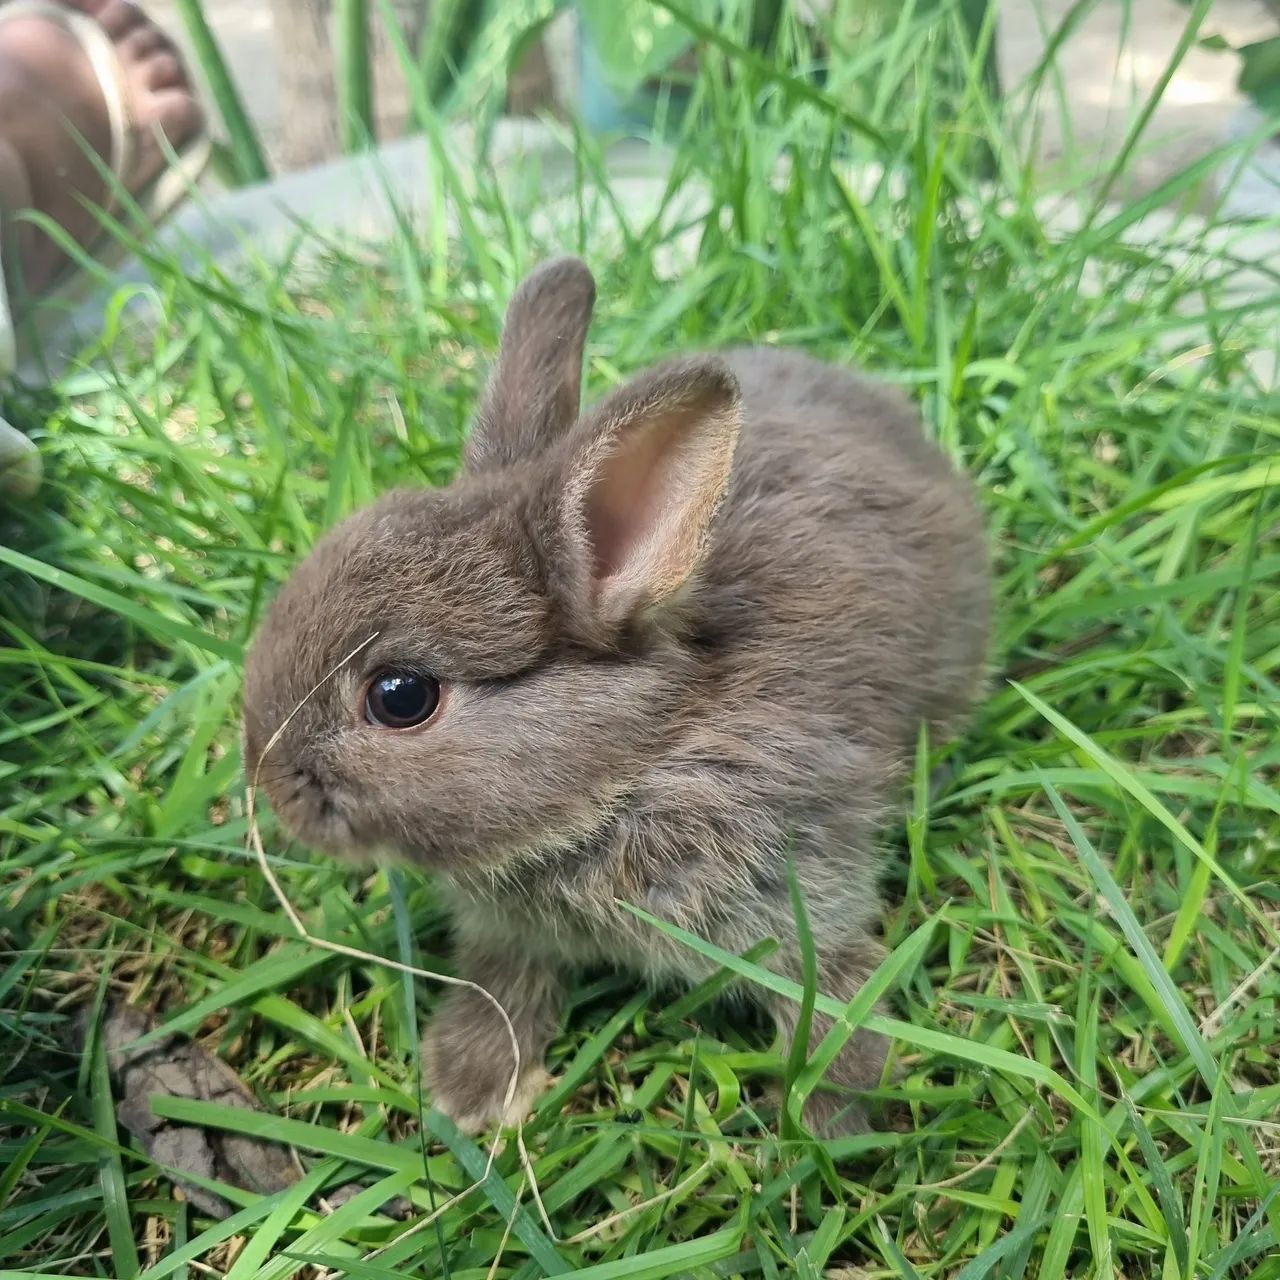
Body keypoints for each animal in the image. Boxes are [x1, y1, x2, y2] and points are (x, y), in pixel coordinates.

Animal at [242, 256, 990, 1137]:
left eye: (400, 696)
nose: (271, 785)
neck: (640, 760)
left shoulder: (803, 885)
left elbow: (832, 985)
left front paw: (839, 1114)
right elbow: (503, 978)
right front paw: (474, 1089)